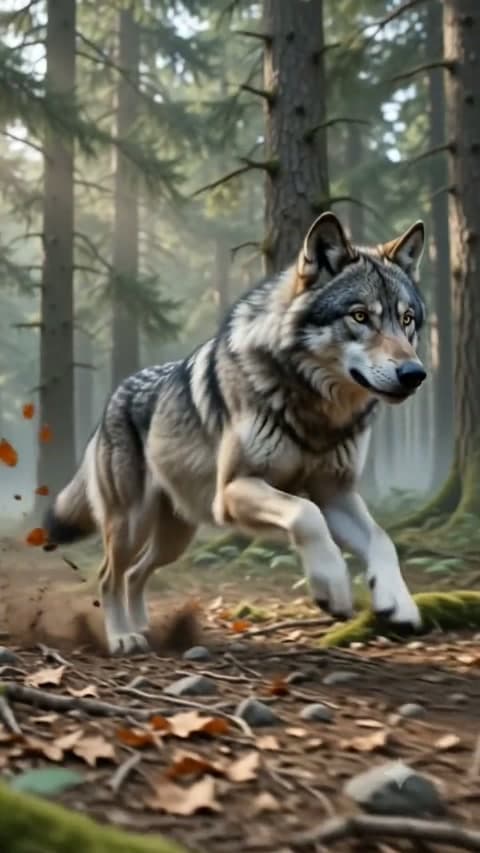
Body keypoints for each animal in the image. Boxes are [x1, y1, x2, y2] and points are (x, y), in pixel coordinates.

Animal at [45, 212, 427, 655]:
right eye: (360, 316)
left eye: (406, 319)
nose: (415, 374)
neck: (317, 411)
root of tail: (113, 398)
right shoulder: (233, 491)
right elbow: (306, 515)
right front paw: (331, 586)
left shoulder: (337, 494)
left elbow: (383, 539)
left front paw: (398, 602)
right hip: (131, 525)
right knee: (109, 575)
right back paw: (123, 637)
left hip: (175, 538)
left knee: (136, 574)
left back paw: (144, 629)